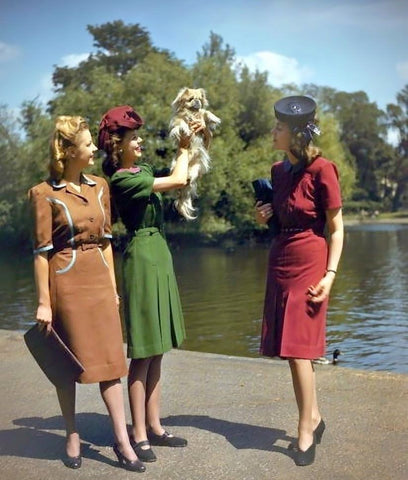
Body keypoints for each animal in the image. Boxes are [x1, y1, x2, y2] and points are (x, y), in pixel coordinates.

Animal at [168, 87, 222, 220]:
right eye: (191, 99)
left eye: (199, 99)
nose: (197, 101)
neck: (192, 113)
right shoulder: (178, 121)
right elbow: (181, 124)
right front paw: (185, 129)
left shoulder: (201, 119)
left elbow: (205, 112)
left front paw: (213, 117)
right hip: (175, 168)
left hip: (196, 168)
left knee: (191, 178)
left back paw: (189, 178)